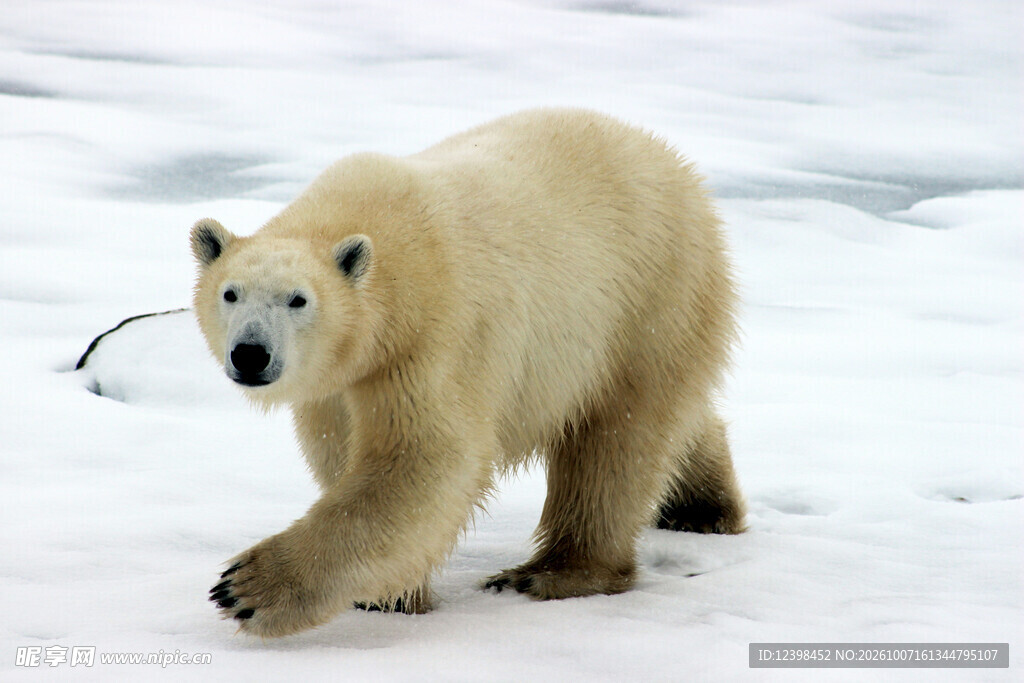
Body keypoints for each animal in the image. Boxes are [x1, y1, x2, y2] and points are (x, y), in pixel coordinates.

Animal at [191, 108, 745, 638]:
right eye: (230, 293)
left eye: (298, 299)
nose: (250, 354)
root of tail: (678, 166)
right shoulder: (340, 380)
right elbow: (341, 448)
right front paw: (390, 595)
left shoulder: (433, 337)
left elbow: (427, 458)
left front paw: (246, 589)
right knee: (672, 422)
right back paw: (700, 507)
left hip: (650, 296)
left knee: (616, 441)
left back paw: (551, 573)